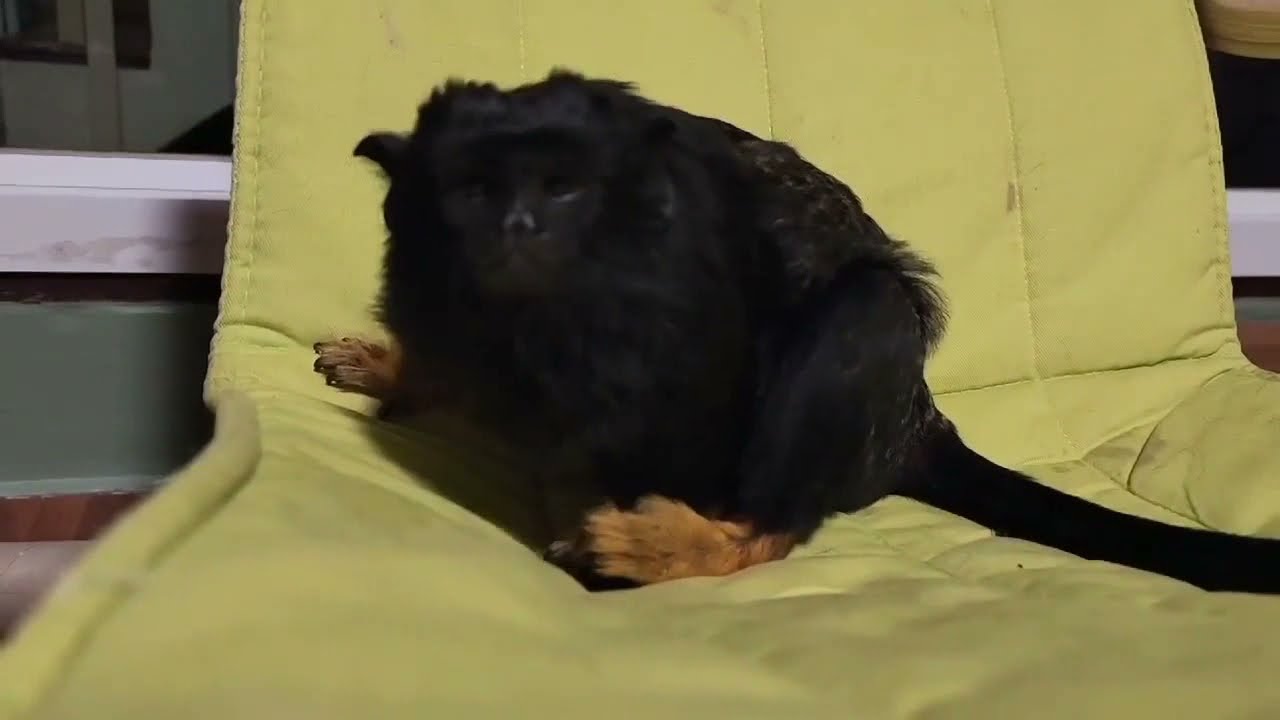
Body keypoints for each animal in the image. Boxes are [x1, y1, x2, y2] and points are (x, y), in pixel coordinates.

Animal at [315, 69, 1280, 593]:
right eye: (471, 192)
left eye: (563, 189)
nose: (517, 229)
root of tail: (916, 420)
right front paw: (403, 368)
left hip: (867, 348)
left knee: (839, 370)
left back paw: (681, 542)